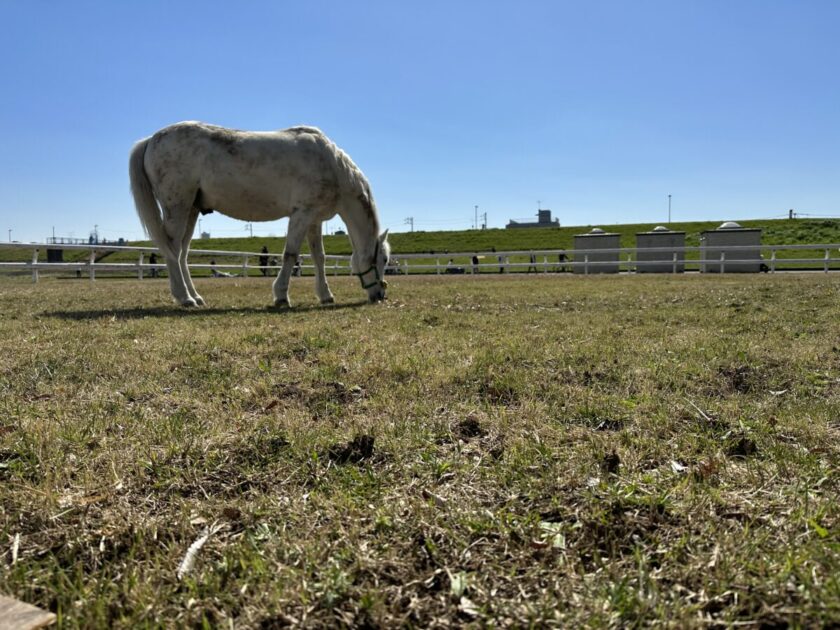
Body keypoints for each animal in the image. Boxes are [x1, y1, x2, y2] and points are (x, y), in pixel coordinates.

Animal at [128, 121, 390, 308]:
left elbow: (319, 258)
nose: (380, 295)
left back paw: (196, 296)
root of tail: (151, 139)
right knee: (172, 252)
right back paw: (185, 298)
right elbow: (290, 254)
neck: (331, 164)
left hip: (190, 210)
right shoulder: (301, 214)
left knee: (182, 254)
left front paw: (325, 295)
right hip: (177, 208)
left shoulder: (313, 220)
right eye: (384, 259)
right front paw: (281, 296)